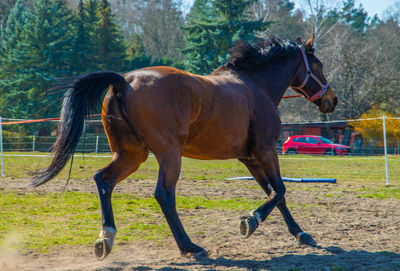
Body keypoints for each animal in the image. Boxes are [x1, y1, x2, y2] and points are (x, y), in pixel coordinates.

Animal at [32, 35, 338, 260]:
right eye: (319, 65)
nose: (332, 101)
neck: (256, 86)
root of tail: (124, 81)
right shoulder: (265, 150)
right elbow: (280, 191)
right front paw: (250, 221)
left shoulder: (249, 158)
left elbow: (275, 193)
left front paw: (300, 234)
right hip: (168, 155)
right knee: (164, 195)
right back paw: (190, 247)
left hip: (132, 154)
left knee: (103, 180)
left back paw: (105, 238)